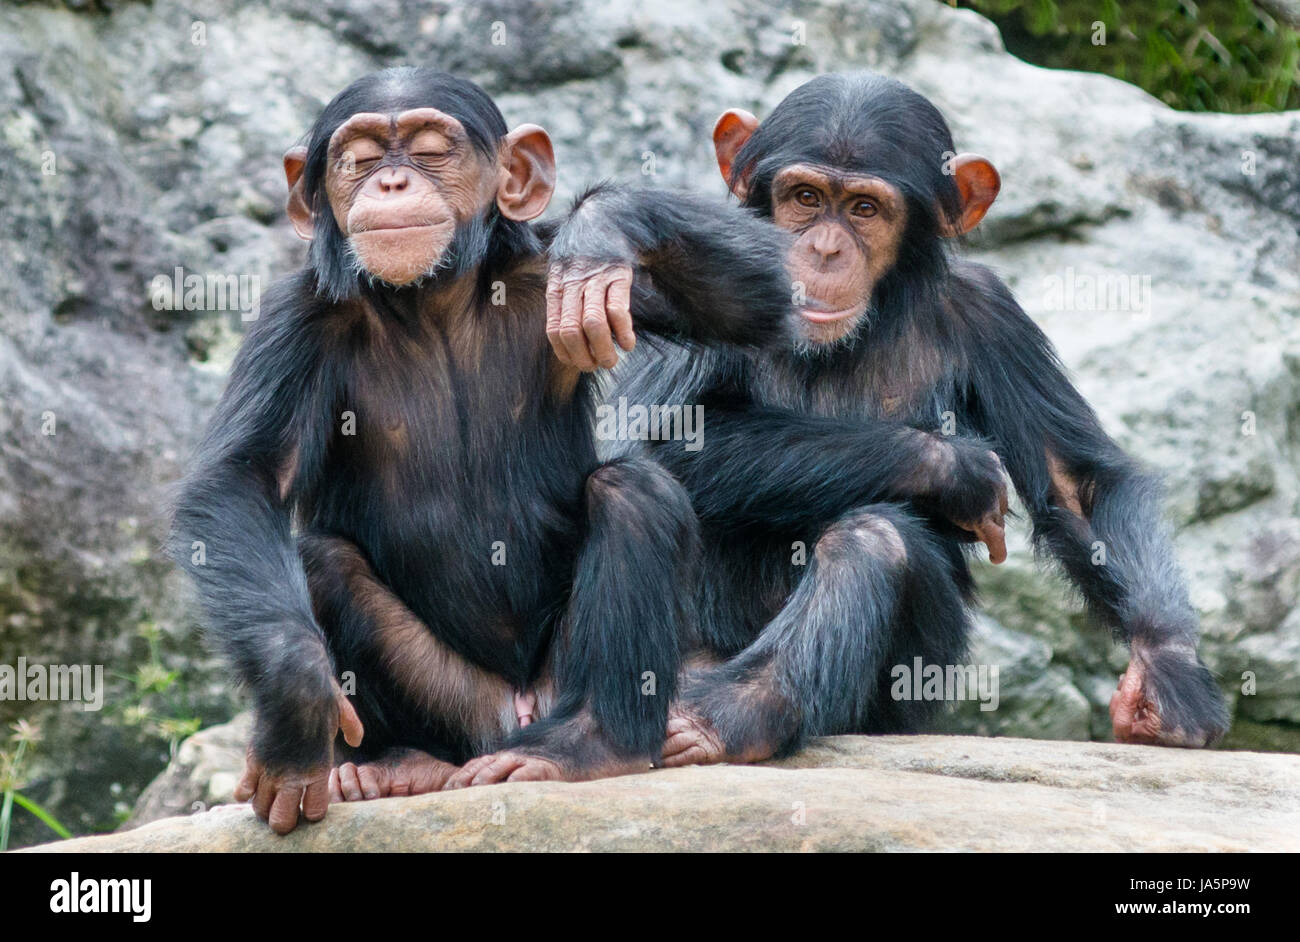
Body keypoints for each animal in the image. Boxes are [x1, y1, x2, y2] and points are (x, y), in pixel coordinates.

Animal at [165, 66, 883, 831]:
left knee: (633, 491)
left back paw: (594, 742)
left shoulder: (550, 273)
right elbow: (245, 478)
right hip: (460, 705)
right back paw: (397, 764)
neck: (429, 303)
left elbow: (771, 294)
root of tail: (517, 712)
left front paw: (603, 227)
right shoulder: (291, 321)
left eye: (429, 150)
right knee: (321, 561)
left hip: (557, 679)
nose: (390, 181)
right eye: (357, 157)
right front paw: (297, 701)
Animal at [556, 73, 1227, 763]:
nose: (824, 249)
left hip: (896, 703)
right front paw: (956, 468)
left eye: (864, 209)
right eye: (804, 197)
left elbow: (1077, 483)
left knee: (876, 540)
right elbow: (664, 435)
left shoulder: (992, 312)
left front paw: (1167, 676)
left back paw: (733, 716)